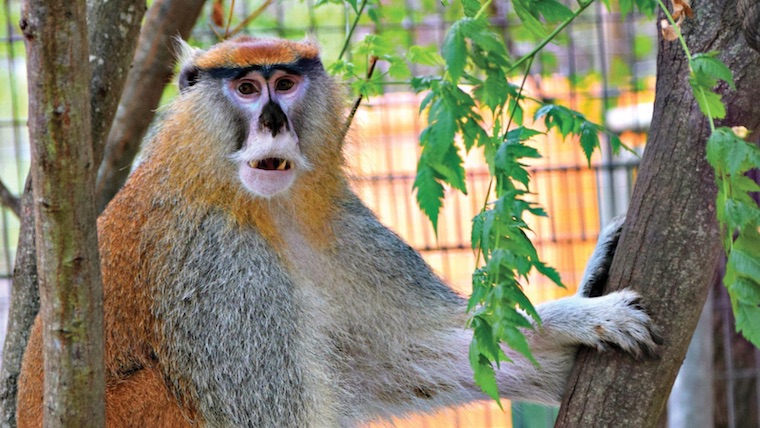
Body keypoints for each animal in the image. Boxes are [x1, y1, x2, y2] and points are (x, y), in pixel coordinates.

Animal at [16, 36, 659, 427]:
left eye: (285, 83)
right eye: (245, 89)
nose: (274, 121)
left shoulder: (341, 223)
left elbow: (398, 359)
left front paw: (578, 319)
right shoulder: (222, 267)